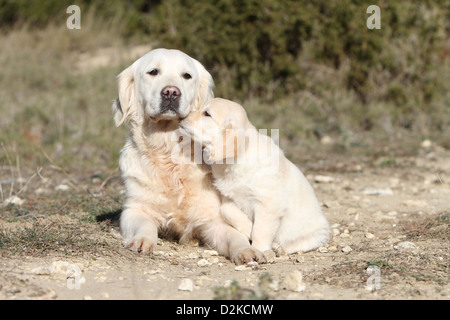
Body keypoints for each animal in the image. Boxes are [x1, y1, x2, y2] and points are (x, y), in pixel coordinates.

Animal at [112, 47, 266, 264]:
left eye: (186, 75)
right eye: (153, 72)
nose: (171, 92)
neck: (169, 150)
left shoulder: (213, 219)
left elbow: (234, 236)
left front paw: (247, 250)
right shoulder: (134, 209)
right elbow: (144, 224)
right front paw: (142, 240)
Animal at [179, 97, 330, 255]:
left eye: (207, 114)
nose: (181, 117)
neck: (236, 162)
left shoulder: (268, 205)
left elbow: (260, 230)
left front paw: (259, 249)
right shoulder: (229, 196)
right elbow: (226, 210)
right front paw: (247, 228)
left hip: (318, 234)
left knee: (298, 244)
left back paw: (279, 248)